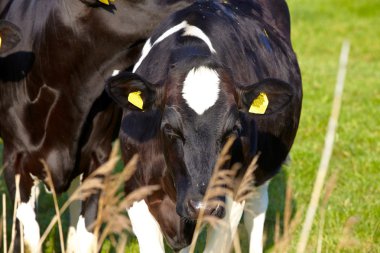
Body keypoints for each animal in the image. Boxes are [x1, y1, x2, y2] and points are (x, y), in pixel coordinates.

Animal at [105, 0, 302, 251]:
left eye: (233, 130)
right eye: (169, 128)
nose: (202, 206)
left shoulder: (231, 194)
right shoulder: (135, 188)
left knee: (256, 212)